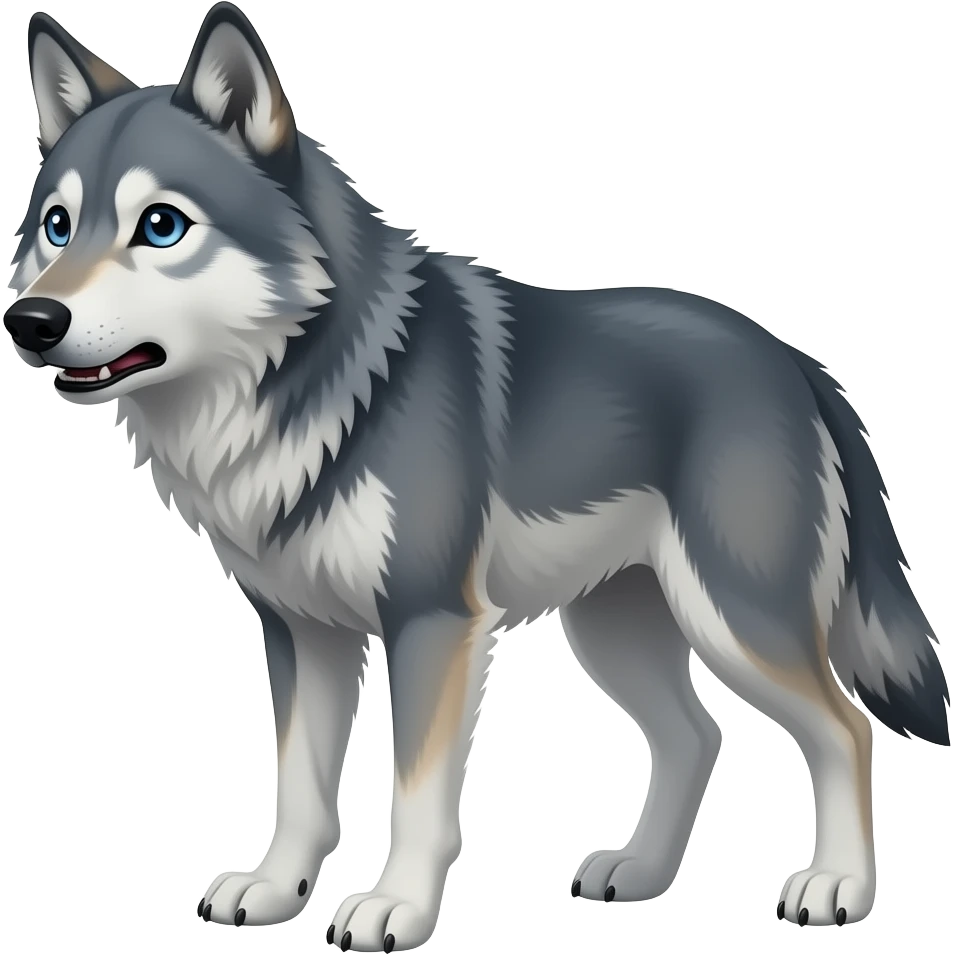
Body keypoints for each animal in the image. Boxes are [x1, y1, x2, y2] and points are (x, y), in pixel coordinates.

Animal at [5, 2, 950, 945]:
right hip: (615, 631)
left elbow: (416, 793)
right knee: (697, 735)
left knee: (844, 729)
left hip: (734, 618)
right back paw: (640, 872)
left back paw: (836, 886)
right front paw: (275, 891)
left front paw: (395, 906)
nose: (30, 320)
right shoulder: (302, 631)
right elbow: (300, 788)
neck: (314, 384)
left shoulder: (432, 622)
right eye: (56, 226)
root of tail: (796, 361)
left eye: (160, 226)